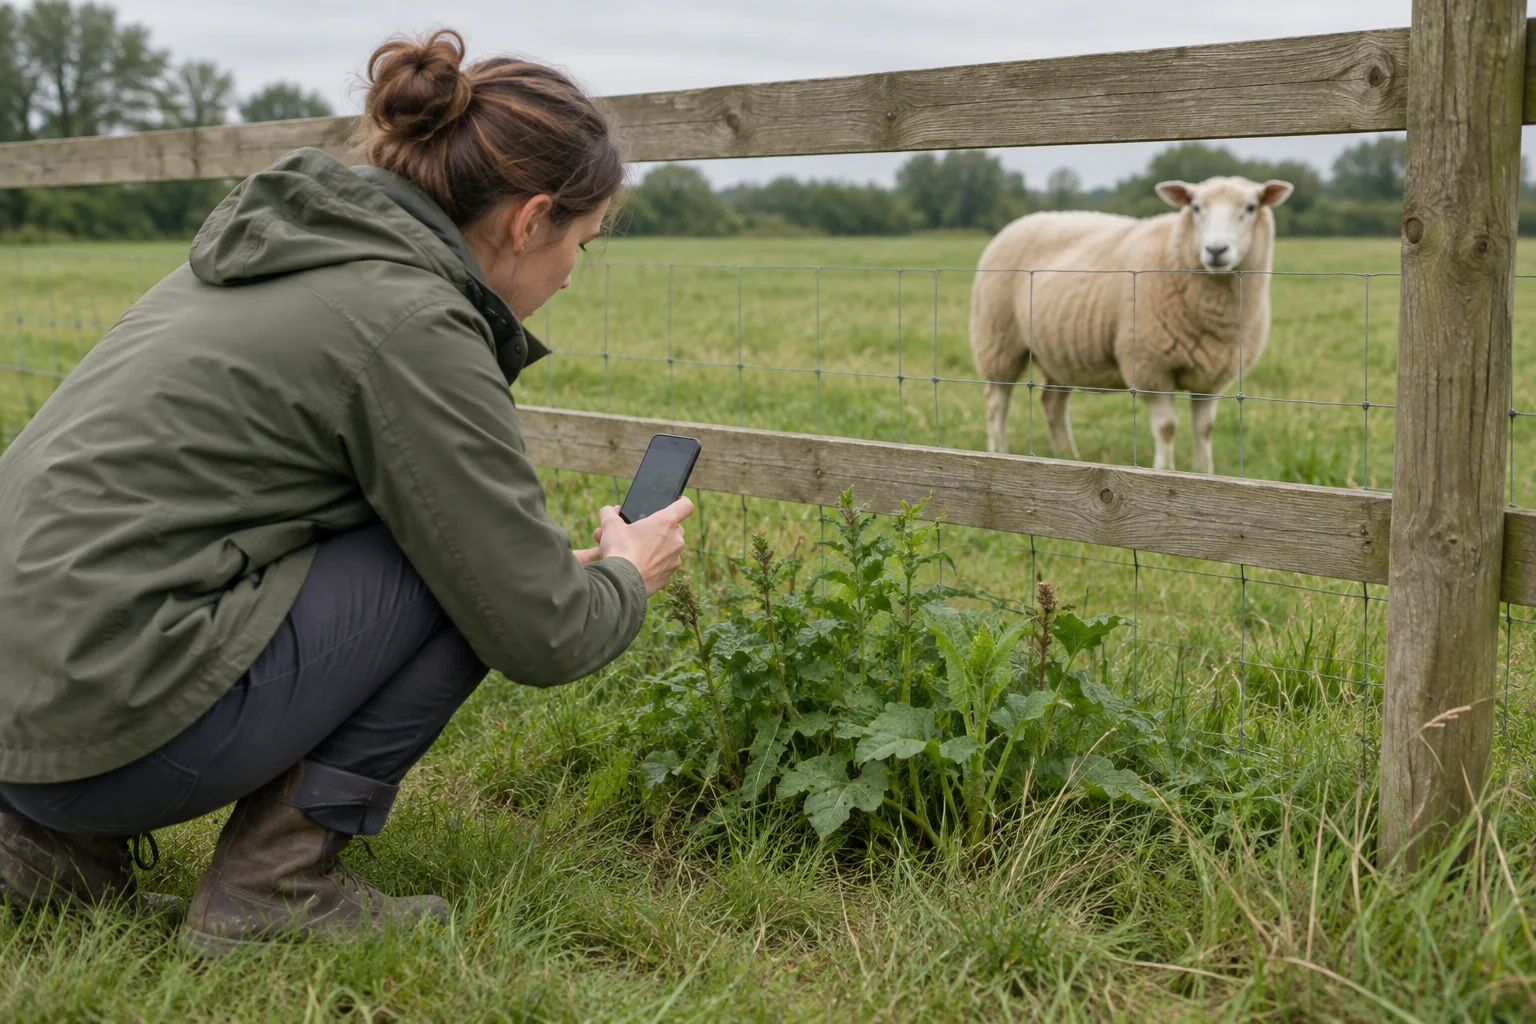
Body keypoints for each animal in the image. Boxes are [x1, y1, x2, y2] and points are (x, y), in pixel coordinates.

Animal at [969, 176, 1293, 473]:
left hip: (1059, 352)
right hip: (998, 340)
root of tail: (1019, 222)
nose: (1216, 250)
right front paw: (1164, 471)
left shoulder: (1212, 378)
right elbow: (1167, 428)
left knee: (1052, 403)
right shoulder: (1150, 367)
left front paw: (1204, 473)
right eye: (1196, 207)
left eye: (1251, 207)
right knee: (997, 402)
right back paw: (999, 451)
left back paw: (1068, 457)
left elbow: (1205, 429)